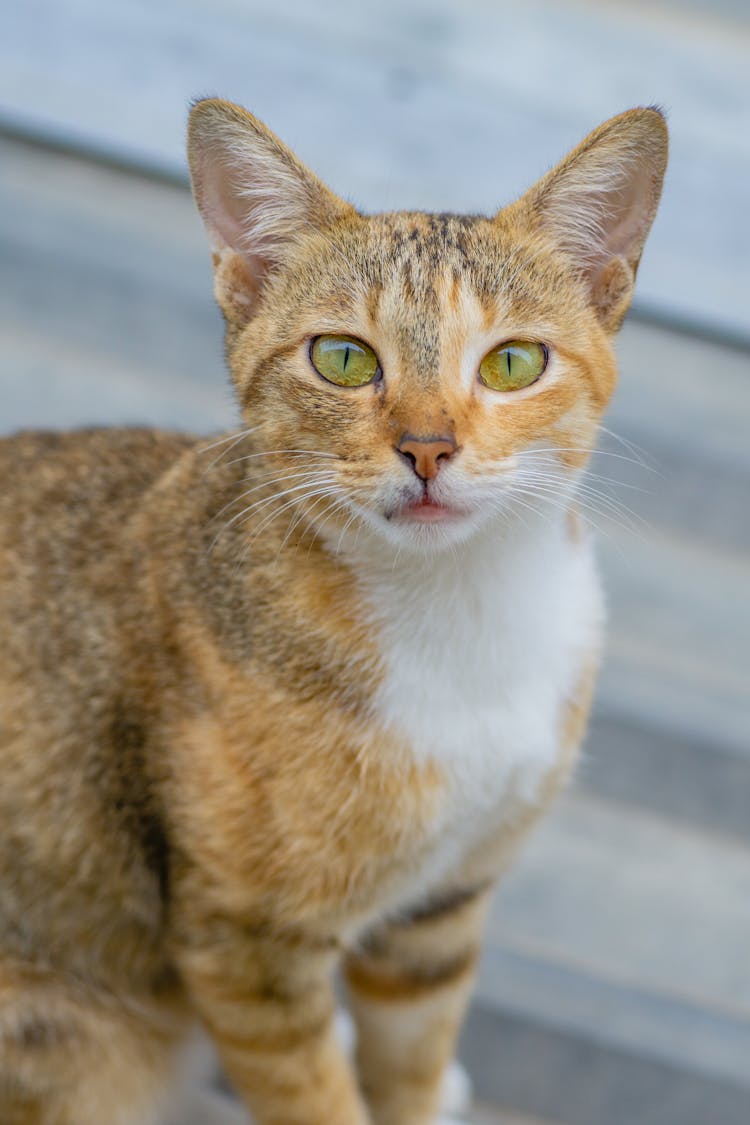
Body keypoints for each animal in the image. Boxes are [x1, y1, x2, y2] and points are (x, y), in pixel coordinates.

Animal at [0, 99, 670, 1125]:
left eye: (514, 362)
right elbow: (316, 1096)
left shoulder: (441, 907)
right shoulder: (246, 947)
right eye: (344, 359)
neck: (457, 612)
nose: (428, 447)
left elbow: (413, 1058)